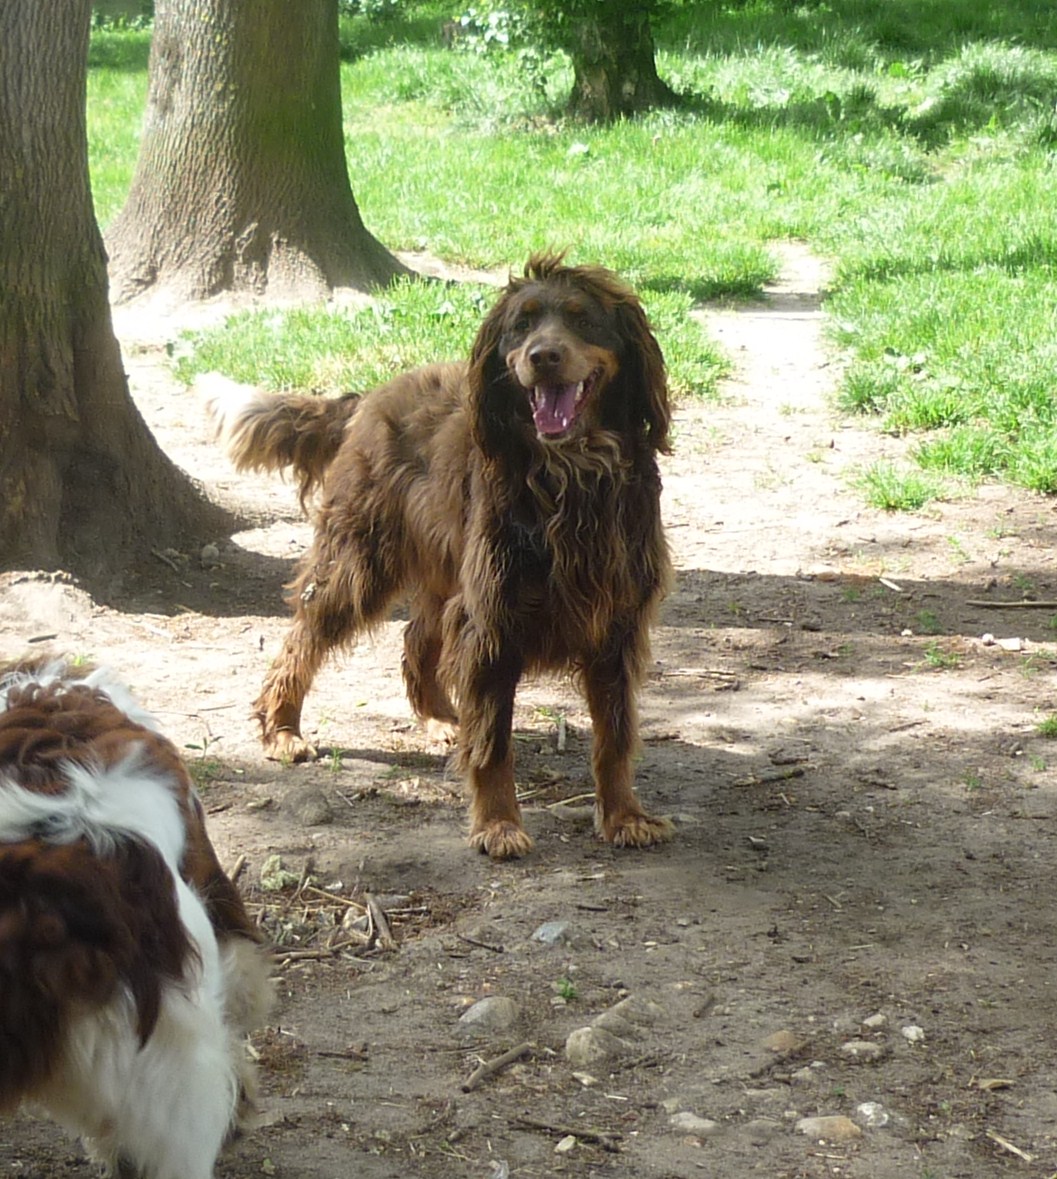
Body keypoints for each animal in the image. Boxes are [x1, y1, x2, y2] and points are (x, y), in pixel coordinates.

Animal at [209, 251, 674, 858]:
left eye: (581, 318)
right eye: (521, 325)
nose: (542, 357)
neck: (570, 478)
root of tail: (368, 397)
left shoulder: (616, 625)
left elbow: (615, 738)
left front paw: (624, 816)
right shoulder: (492, 621)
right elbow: (494, 744)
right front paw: (498, 825)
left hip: (440, 571)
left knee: (414, 639)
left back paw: (439, 716)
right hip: (359, 561)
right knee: (302, 640)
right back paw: (282, 729)